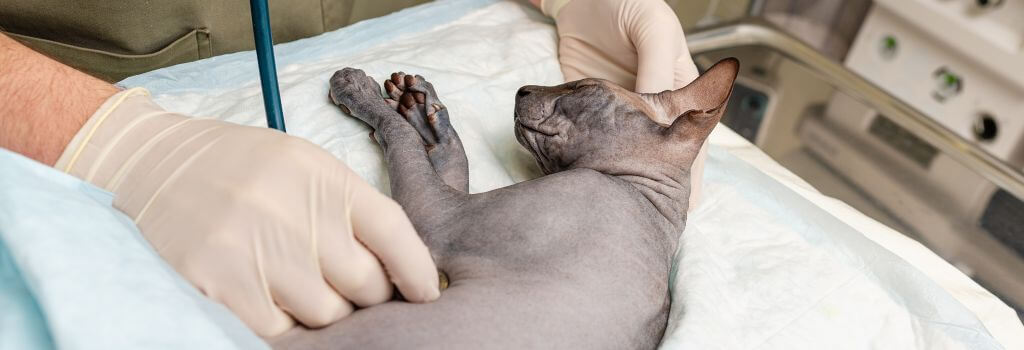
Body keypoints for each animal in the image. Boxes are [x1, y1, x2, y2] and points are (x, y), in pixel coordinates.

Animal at [270, 58, 737, 350]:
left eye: (584, 87)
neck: (642, 194)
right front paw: (423, 109)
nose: (522, 90)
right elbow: (448, 153)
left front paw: (358, 90)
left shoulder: (437, 218)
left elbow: (399, 138)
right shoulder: (448, 205)